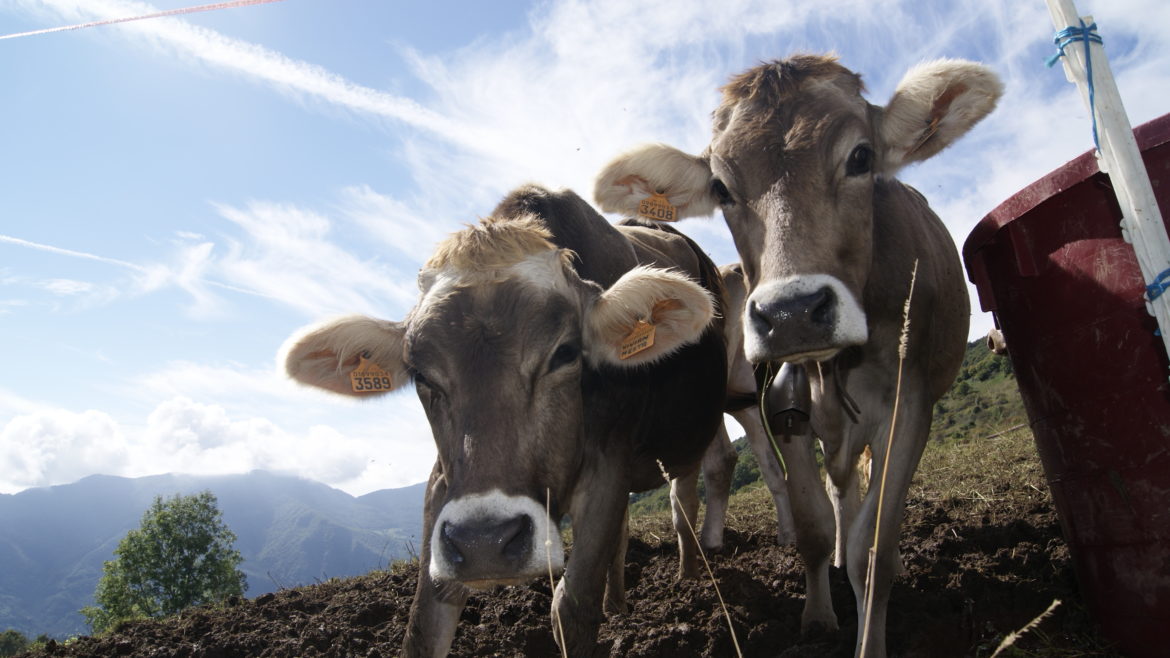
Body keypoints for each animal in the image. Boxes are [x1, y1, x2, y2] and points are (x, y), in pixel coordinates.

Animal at [278, 186, 725, 655]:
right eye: (420, 374)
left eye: (565, 353)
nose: (484, 543)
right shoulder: (443, 483)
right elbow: (425, 622)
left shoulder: (609, 464)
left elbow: (572, 607)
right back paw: (618, 605)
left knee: (684, 501)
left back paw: (689, 579)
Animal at [599, 56, 1001, 655]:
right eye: (721, 187)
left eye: (861, 157)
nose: (791, 313)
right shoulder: (784, 408)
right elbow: (813, 526)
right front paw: (818, 616)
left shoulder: (910, 407)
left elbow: (873, 550)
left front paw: (869, 635)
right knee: (838, 491)